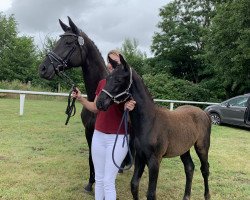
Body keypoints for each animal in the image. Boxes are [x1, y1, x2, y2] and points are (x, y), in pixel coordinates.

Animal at [38, 17, 108, 192]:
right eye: (58, 41)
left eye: (69, 42)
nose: (42, 69)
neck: (96, 99)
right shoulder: (89, 132)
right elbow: (91, 157)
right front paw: (90, 183)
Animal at [96, 55, 211, 200]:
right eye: (107, 79)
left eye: (119, 79)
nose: (100, 103)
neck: (149, 121)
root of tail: (204, 113)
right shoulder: (140, 156)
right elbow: (134, 185)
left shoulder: (154, 160)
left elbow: (151, 193)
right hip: (184, 148)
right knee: (189, 168)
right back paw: (186, 196)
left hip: (202, 147)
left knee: (205, 169)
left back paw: (207, 195)